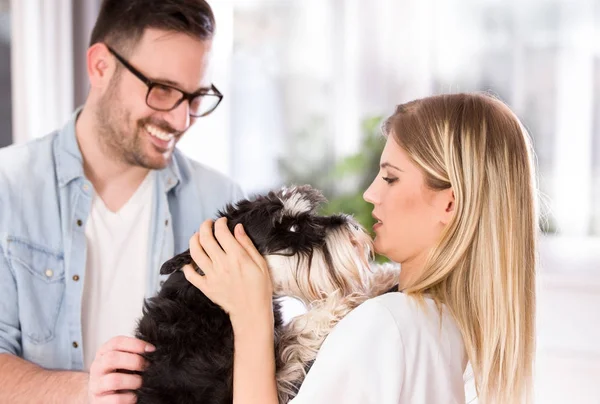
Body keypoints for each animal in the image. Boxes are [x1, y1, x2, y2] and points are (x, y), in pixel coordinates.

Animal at [134, 186, 400, 404]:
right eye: (293, 227)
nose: (350, 223)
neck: (207, 305)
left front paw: (384, 276)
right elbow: (297, 333)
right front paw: (340, 303)